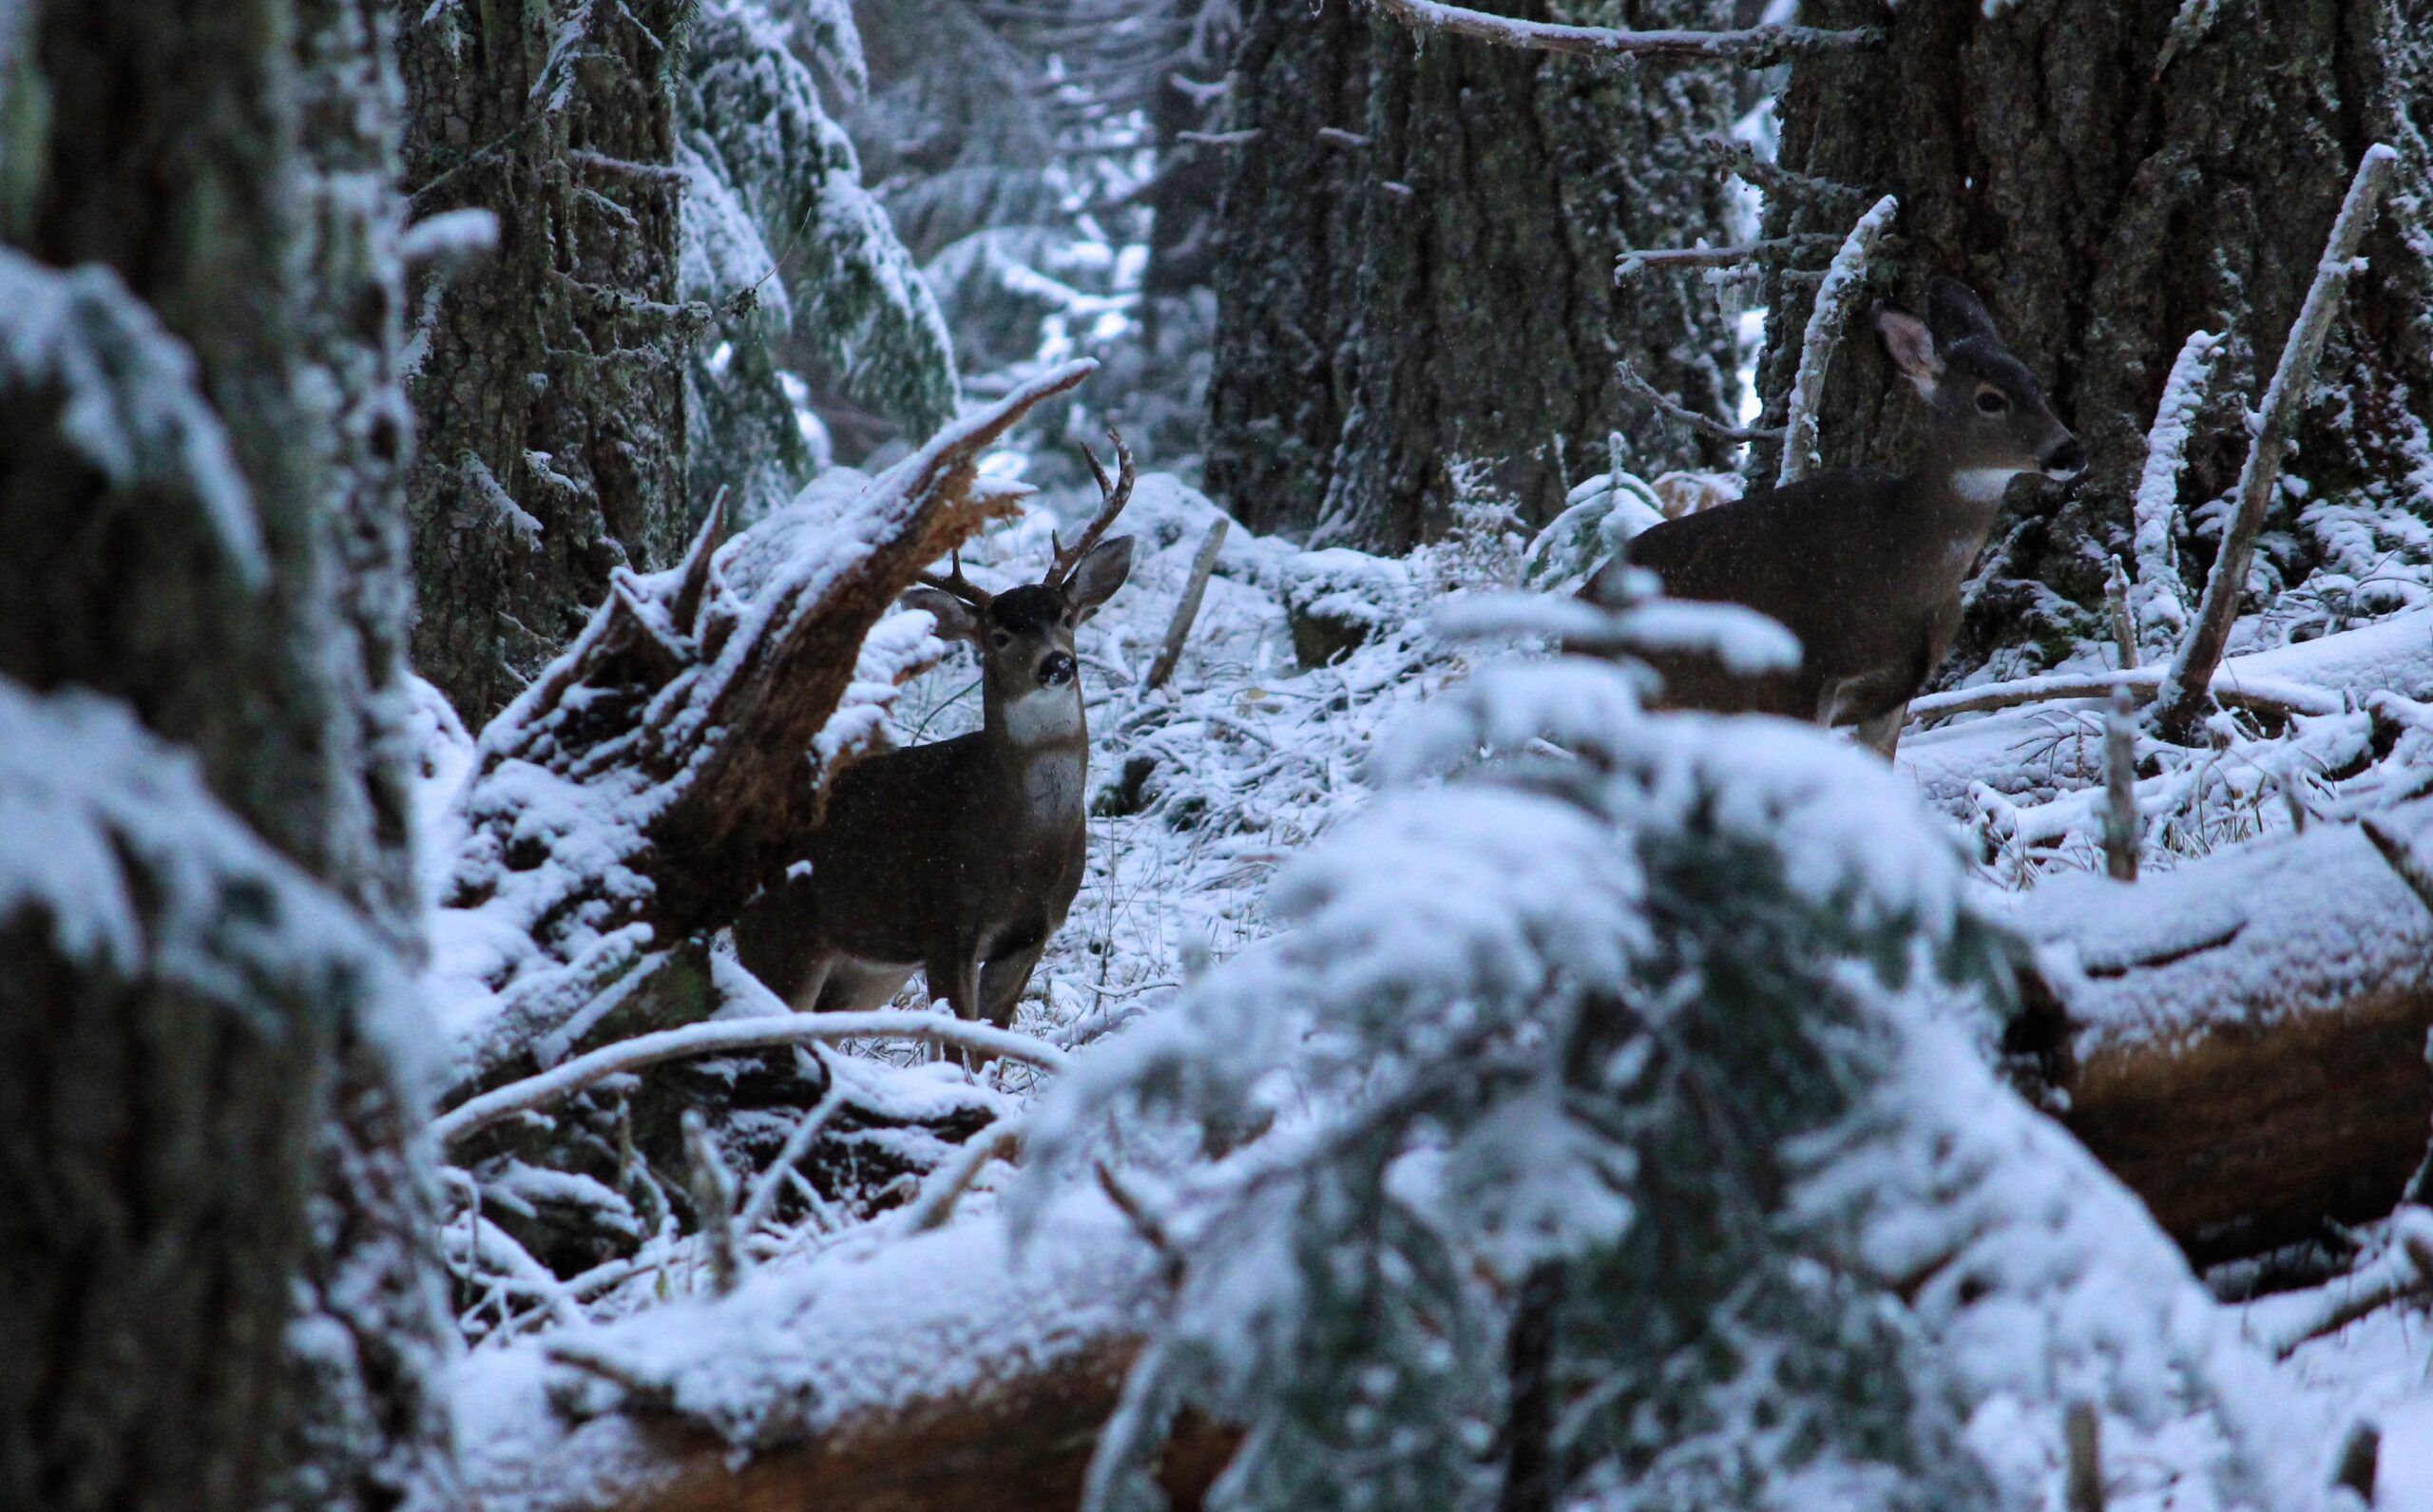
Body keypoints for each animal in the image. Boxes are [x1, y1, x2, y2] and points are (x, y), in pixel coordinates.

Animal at [731, 436, 1137, 1035]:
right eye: (998, 635)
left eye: (1066, 616)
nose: (1057, 664)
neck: (1026, 844)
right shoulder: (948, 924)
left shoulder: (1031, 934)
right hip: (781, 933)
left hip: (867, 968)